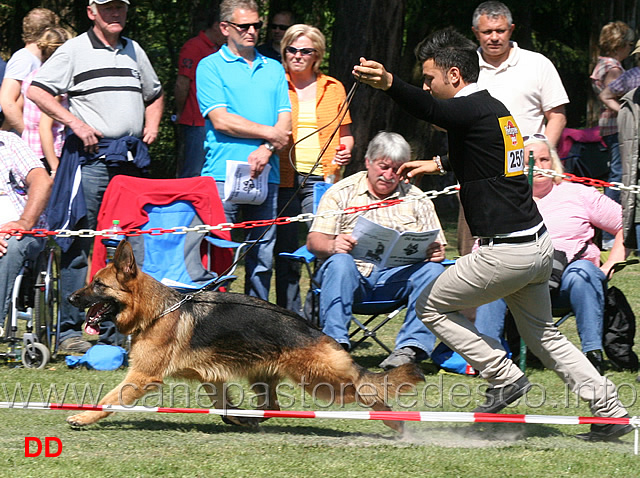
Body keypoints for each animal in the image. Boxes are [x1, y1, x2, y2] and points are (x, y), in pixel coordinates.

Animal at [66, 243, 424, 434]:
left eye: (98, 285)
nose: (70, 298)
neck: (159, 311)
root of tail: (316, 331)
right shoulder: (212, 378)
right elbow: (224, 406)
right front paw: (237, 419)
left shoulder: (140, 377)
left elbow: (109, 399)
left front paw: (83, 416)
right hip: (263, 378)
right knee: (272, 406)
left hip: (320, 381)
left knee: (365, 387)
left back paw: (394, 421)